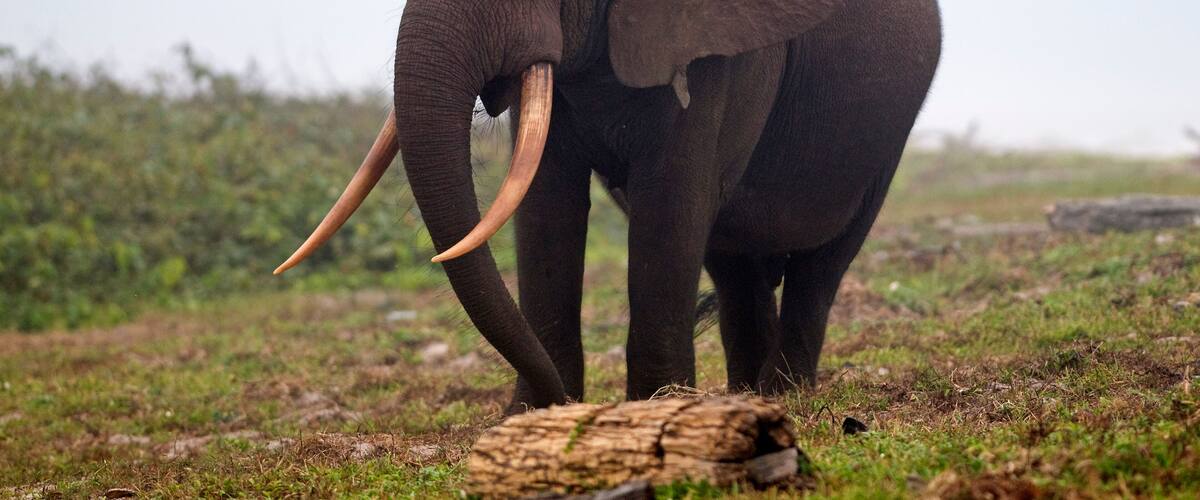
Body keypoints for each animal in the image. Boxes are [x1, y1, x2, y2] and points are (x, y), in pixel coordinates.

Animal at [276, 0, 942, 411]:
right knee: (733, 266)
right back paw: (746, 399)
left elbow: (672, 198)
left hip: (886, 136)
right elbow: (545, 201)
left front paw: (656, 410)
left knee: (823, 263)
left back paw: (783, 398)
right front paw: (531, 419)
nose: (560, 399)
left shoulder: (721, 44)